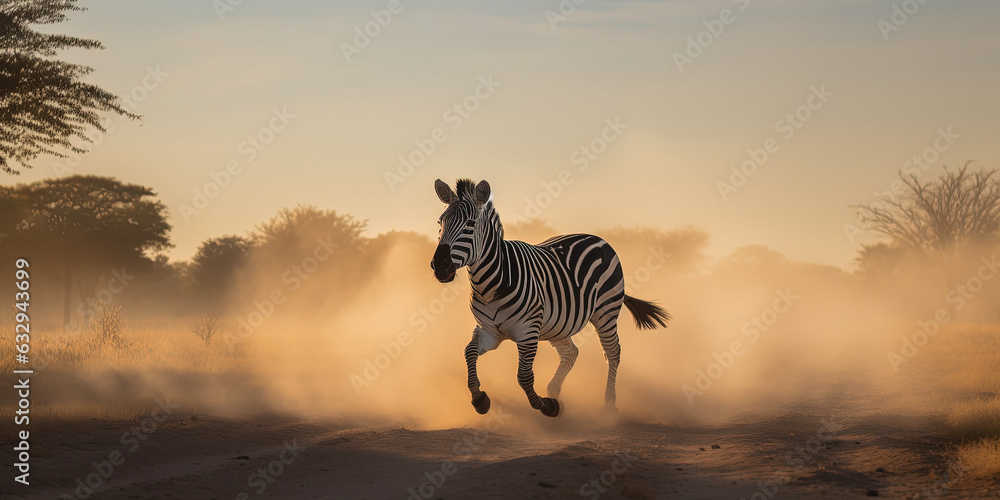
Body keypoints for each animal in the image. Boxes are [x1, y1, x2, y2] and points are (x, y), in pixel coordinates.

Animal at [429, 178, 670, 418]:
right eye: (440, 222)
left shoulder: (527, 332)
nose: (440, 266)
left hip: (605, 312)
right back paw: (555, 391)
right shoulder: (489, 331)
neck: (491, 285)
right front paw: (479, 399)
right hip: (558, 324)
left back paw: (608, 407)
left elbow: (524, 376)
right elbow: (469, 352)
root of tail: (596, 237)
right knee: (571, 352)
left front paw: (547, 405)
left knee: (612, 352)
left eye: (470, 224)